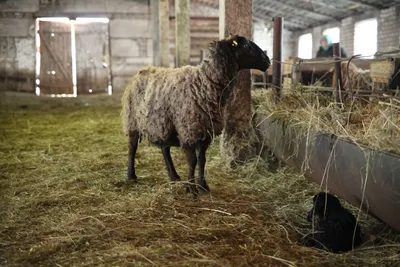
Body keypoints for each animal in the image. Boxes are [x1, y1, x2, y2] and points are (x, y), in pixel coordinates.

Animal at [120, 35, 270, 195]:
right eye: (247, 46)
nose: (268, 61)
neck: (204, 83)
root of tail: (142, 70)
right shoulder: (188, 130)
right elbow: (192, 161)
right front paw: (190, 188)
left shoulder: (205, 132)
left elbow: (202, 160)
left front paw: (203, 186)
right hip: (133, 121)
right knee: (132, 148)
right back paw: (131, 175)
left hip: (163, 123)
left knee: (164, 149)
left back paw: (173, 176)